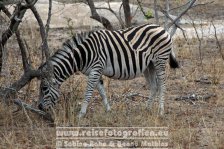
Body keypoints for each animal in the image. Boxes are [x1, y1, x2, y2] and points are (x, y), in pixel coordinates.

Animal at [38, 24, 178, 117]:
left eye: (44, 88)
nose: (39, 107)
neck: (83, 55)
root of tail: (162, 28)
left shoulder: (96, 69)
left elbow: (88, 92)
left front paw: (81, 114)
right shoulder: (95, 72)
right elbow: (102, 91)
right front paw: (108, 110)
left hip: (159, 61)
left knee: (162, 85)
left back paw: (160, 111)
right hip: (149, 66)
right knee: (154, 86)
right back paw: (147, 109)